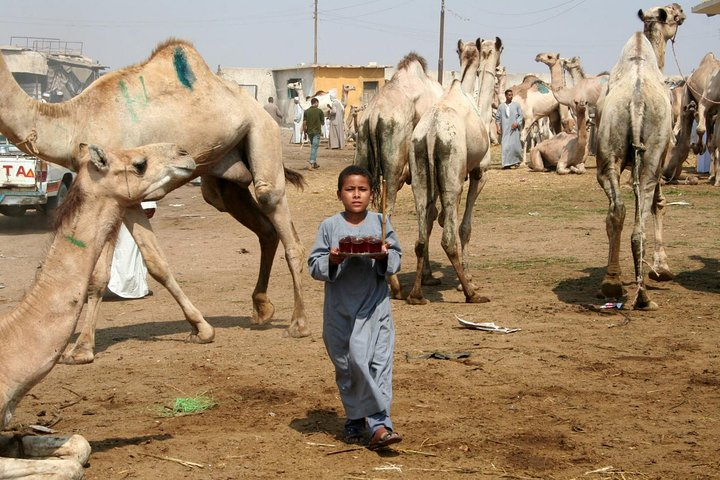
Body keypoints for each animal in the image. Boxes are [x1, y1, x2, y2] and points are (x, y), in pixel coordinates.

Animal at [0, 39, 310, 364]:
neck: (74, 120)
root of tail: (260, 109)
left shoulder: (123, 189)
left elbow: (142, 265)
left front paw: (201, 329)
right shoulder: (112, 192)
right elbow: (112, 272)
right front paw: (83, 348)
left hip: (262, 134)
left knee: (276, 210)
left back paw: (298, 323)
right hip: (224, 176)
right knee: (260, 226)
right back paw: (262, 309)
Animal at [353, 51, 443, 297]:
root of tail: (374, 116)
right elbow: (429, 215)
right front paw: (428, 277)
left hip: (361, 148)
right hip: (393, 168)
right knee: (386, 213)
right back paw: (394, 285)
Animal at [406, 37, 502, 305]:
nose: (500, 69)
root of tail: (431, 133)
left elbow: (436, 218)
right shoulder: (479, 173)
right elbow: (465, 227)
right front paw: (468, 279)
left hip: (420, 171)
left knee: (421, 235)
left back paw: (416, 294)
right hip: (452, 174)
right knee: (449, 238)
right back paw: (472, 295)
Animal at [595, 32, 674, 310]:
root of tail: (637, 102)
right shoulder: (663, 156)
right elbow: (660, 203)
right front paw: (662, 269)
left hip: (609, 152)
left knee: (618, 210)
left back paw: (613, 284)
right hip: (652, 156)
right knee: (643, 210)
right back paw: (642, 296)